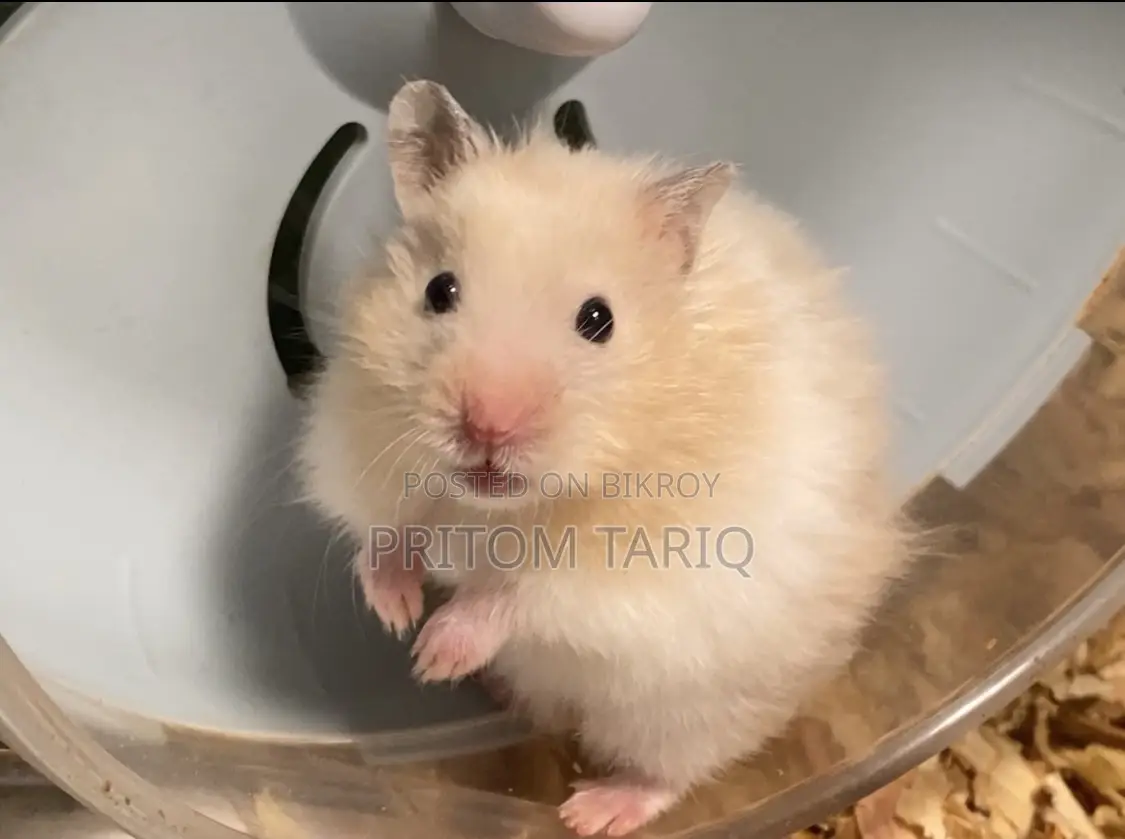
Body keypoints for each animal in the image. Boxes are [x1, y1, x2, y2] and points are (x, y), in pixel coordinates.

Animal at [296, 79, 915, 837]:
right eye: (438, 290)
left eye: (599, 319)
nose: (487, 426)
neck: (500, 508)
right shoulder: (363, 450)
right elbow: (386, 529)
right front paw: (397, 612)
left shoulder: (629, 575)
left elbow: (520, 592)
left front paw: (434, 652)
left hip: (690, 714)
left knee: (669, 772)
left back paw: (589, 811)